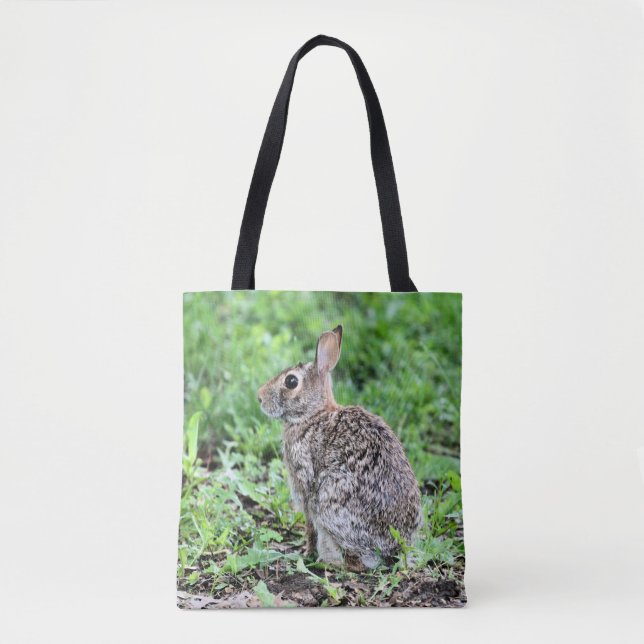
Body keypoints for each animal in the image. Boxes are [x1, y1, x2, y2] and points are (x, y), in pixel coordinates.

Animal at [257, 325, 421, 570]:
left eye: (291, 382)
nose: (259, 397)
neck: (313, 415)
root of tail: (391, 545)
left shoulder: (305, 485)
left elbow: (309, 525)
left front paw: (306, 552)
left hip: (331, 503)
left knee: (355, 561)